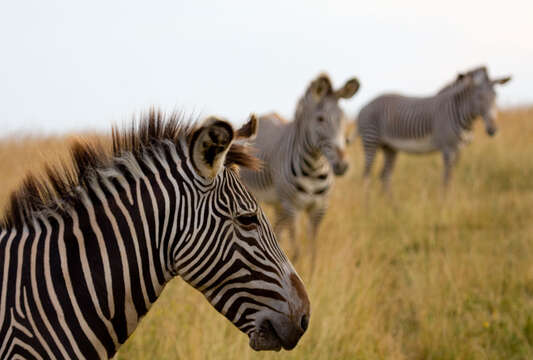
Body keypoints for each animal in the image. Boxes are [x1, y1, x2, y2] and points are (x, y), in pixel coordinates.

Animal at [240, 74, 358, 264]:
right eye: (320, 119)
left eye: (343, 118)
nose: (342, 165)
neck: (315, 167)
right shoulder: (292, 206)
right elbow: (297, 251)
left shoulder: (320, 207)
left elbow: (313, 251)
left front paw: (312, 269)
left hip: (278, 203)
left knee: (278, 230)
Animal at [358, 65, 512, 193]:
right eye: (479, 97)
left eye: (496, 96)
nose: (493, 130)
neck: (461, 113)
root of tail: (365, 106)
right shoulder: (448, 148)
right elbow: (447, 178)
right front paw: (445, 202)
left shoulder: (458, 149)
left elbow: (452, 176)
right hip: (371, 139)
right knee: (366, 176)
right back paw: (367, 204)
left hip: (389, 147)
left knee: (385, 175)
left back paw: (390, 205)